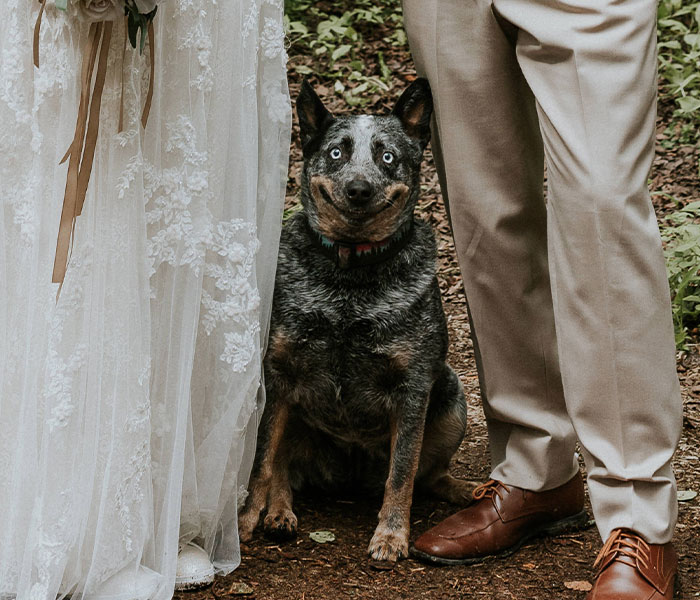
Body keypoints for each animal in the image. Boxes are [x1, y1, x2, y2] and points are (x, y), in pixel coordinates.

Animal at [237, 78, 476, 564]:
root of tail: (346, 476)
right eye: (336, 152)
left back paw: (462, 490)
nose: (360, 189)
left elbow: (402, 474)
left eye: (387, 156)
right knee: (284, 470)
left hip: (451, 396)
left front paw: (391, 535)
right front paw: (249, 518)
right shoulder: (279, 374)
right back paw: (279, 513)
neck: (349, 280)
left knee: (429, 474)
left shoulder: (413, 387)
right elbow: (263, 461)